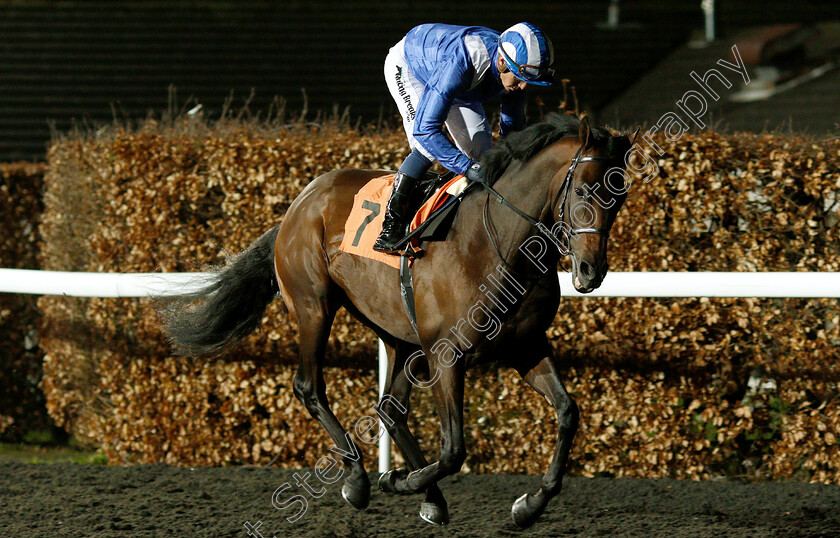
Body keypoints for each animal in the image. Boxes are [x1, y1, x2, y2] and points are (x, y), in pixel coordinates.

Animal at [158, 114, 632, 528]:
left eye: (621, 193)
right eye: (584, 189)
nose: (590, 271)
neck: (497, 244)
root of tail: (299, 202)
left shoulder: (526, 345)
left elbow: (568, 413)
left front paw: (529, 506)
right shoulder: (446, 353)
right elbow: (454, 449)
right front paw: (398, 480)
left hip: (399, 335)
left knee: (389, 408)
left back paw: (430, 499)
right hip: (313, 307)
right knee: (310, 387)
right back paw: (359, 481)